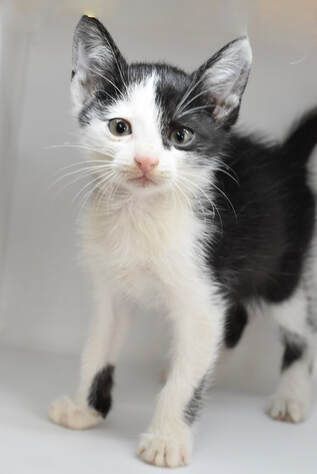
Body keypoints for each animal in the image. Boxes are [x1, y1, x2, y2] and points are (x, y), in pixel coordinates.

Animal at [48, 15, 314, 470]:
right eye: (119, 128)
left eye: (180, 134)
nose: (145, 161)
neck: (142, 215)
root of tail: (286, 160)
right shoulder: (112, 290)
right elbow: (97, 348)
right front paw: (85, 410)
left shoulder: (203, 293)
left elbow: (185, 381)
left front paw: (166, 439)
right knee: (232, 322)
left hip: (282, 271)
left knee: (301, 333)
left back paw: (291, 397)